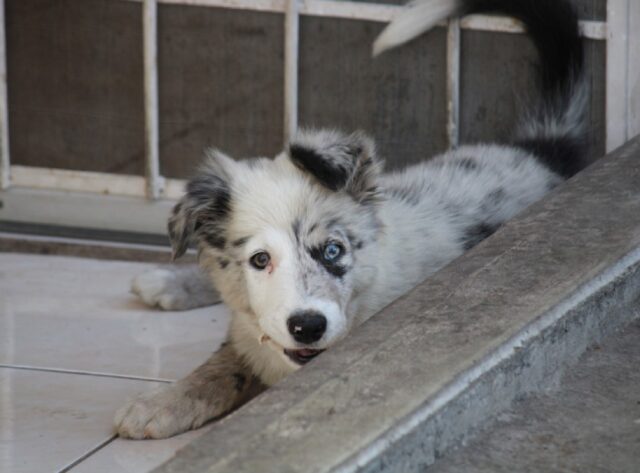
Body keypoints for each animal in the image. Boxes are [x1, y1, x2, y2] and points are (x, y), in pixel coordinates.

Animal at [114, 0, 592, 438]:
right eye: (259, 260)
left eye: (332, 251)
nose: (308, 327)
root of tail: (541, 149)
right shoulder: (252, 333)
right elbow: (225, 360)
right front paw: (161, 403)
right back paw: (167, 282)